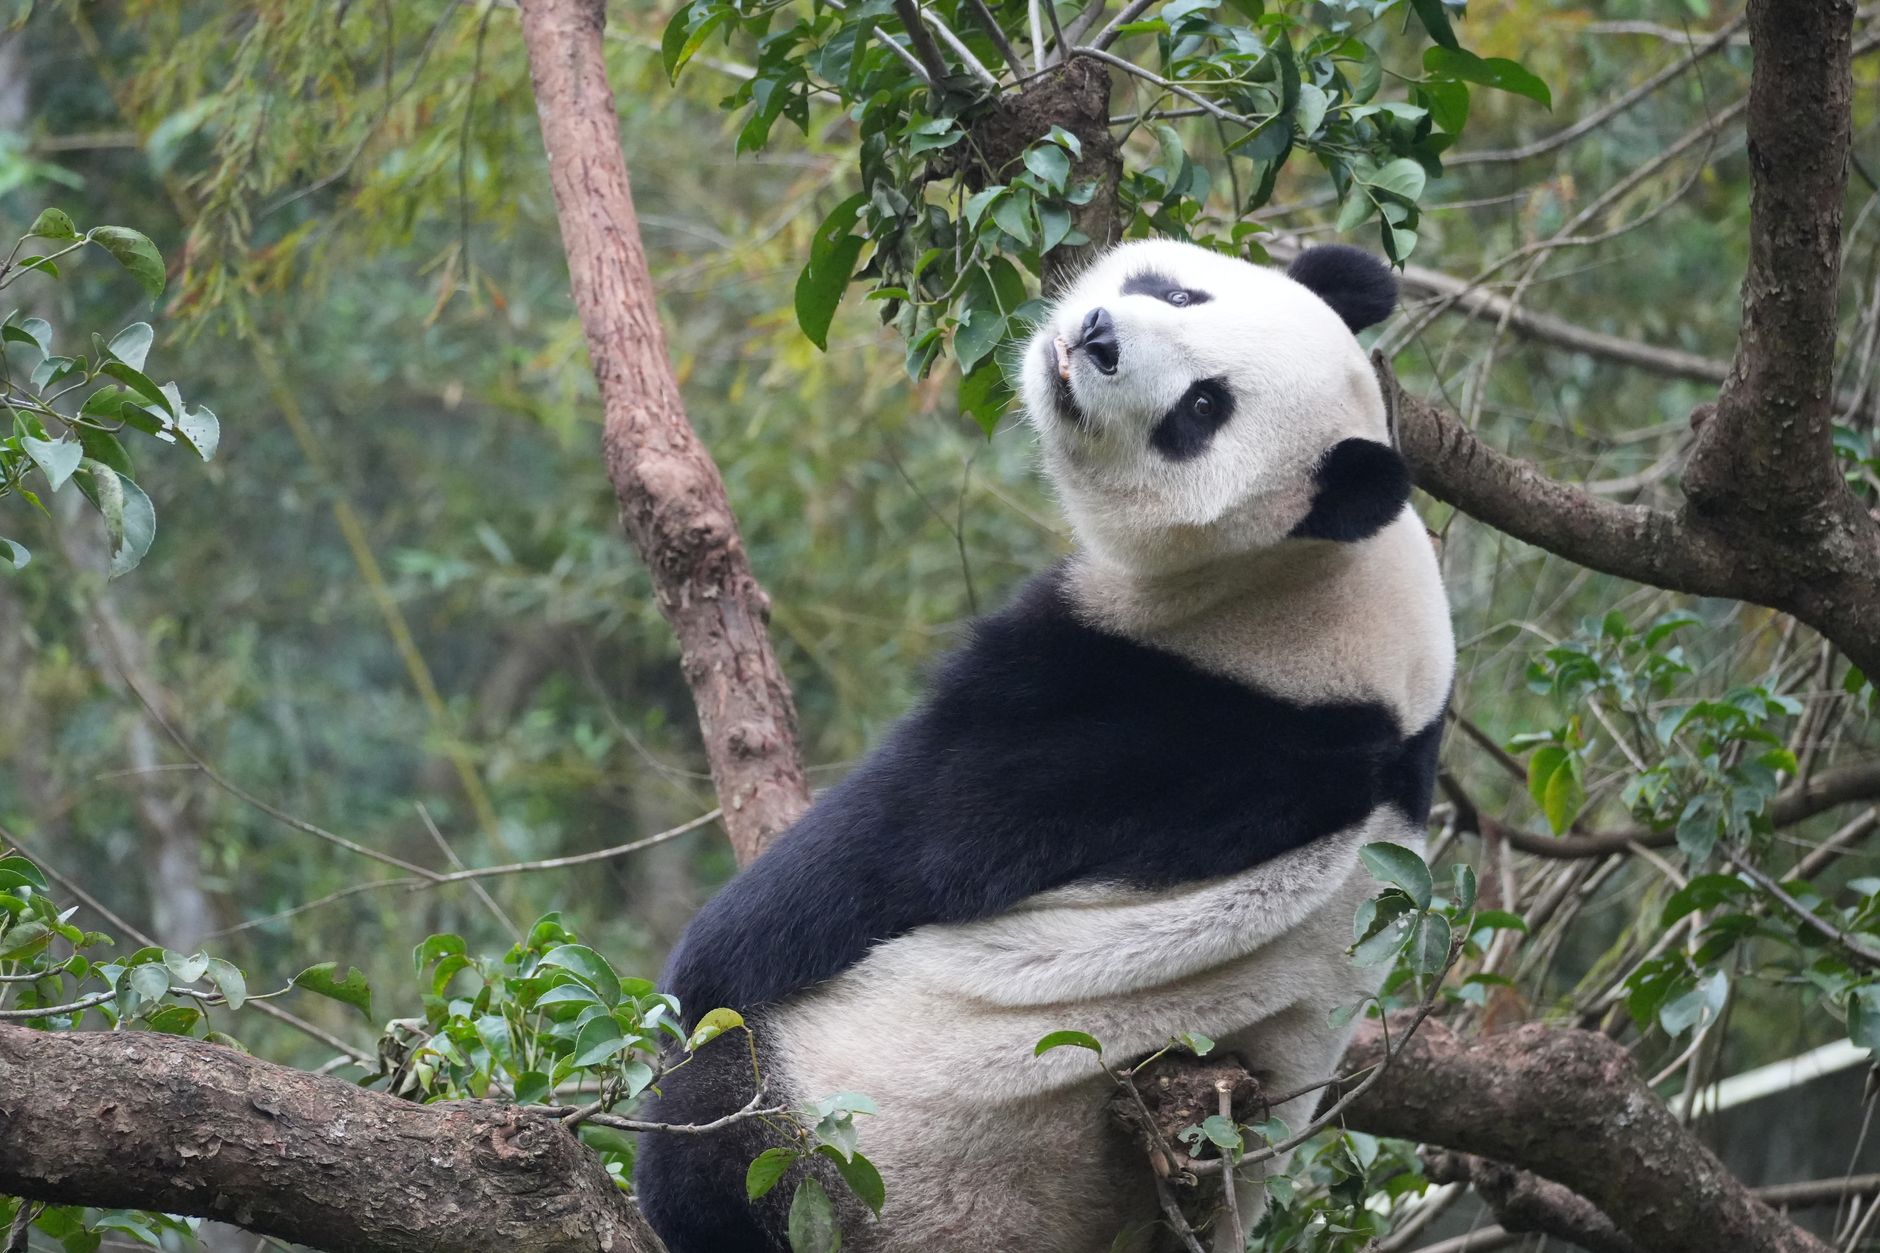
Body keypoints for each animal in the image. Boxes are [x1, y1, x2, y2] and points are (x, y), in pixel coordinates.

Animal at [634, 238, 1454, 1253]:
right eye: (1180, 291)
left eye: (1203, 409)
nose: (1098, 336)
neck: (1324, 574)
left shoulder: (1173, 715)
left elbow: (877, 861)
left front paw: (698, 970)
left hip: (879, 1157)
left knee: (719, 1121)